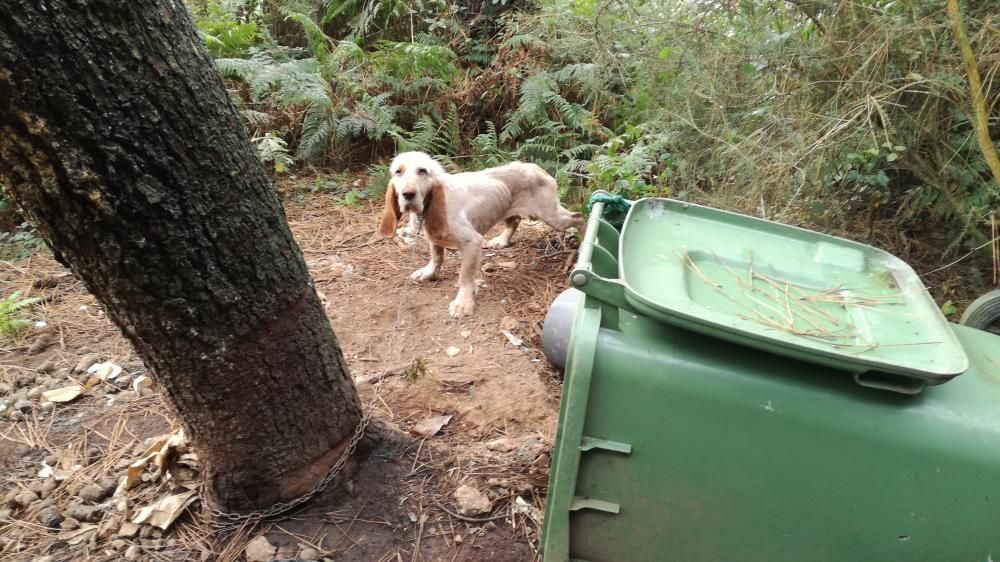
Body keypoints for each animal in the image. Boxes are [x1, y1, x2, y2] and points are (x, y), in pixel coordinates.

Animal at [378, 151, 584, 316]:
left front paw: (463, 303)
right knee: (515, 221)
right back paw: (501, 240)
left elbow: (464, 277)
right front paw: (428, 272)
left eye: (422, 171)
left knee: (580, 217)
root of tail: (534, 167)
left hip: (554, 217)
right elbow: (436, 257)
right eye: (398, 172)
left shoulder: (472, 243)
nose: (408, 194)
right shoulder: (434, 237)